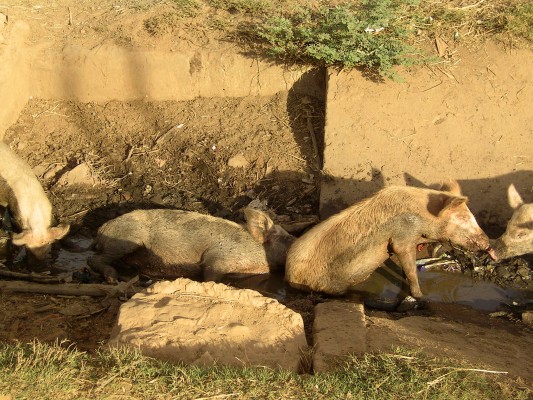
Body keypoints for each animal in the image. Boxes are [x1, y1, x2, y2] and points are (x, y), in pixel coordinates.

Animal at [87, 208, 296, 282]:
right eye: (287, 238)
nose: (296, 240)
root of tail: (101, 229)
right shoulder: (217, 257)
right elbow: (211, 276)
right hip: (125, 239)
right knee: (93, 259)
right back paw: (112, 279)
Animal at [284, 180, 496, 296]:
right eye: (464, 220)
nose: (489, 244)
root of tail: (288, 275)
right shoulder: (403, 238)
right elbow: (410, 268)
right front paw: (420, 296)